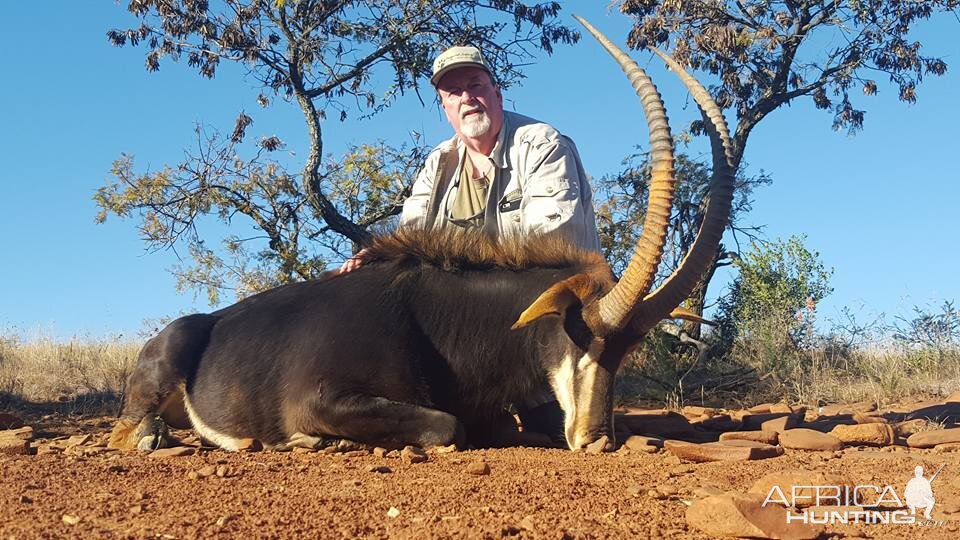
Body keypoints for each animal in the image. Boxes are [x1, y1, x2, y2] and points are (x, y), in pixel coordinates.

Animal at [107, 19, 736, 452]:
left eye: (626, 351)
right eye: (583, 339)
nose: (595, 438)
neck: (434, 318)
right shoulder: (319, 399)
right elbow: (445, 424)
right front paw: (321, 440)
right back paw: (155, 437)